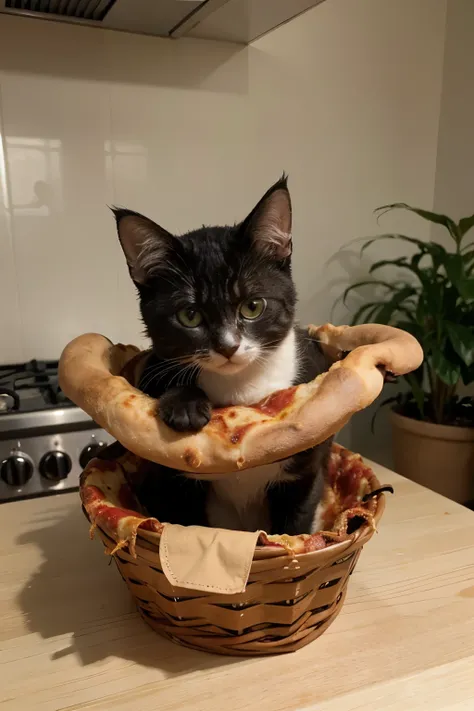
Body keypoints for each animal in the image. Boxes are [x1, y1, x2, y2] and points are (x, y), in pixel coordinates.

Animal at [113, 178, 334, 536]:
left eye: (253, 306)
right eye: (189, 315)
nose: (228, 347)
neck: (238, 388)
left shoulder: (305, 469)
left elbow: (297, 518)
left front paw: (292, 542)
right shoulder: (172, 479)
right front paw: (185, 406)